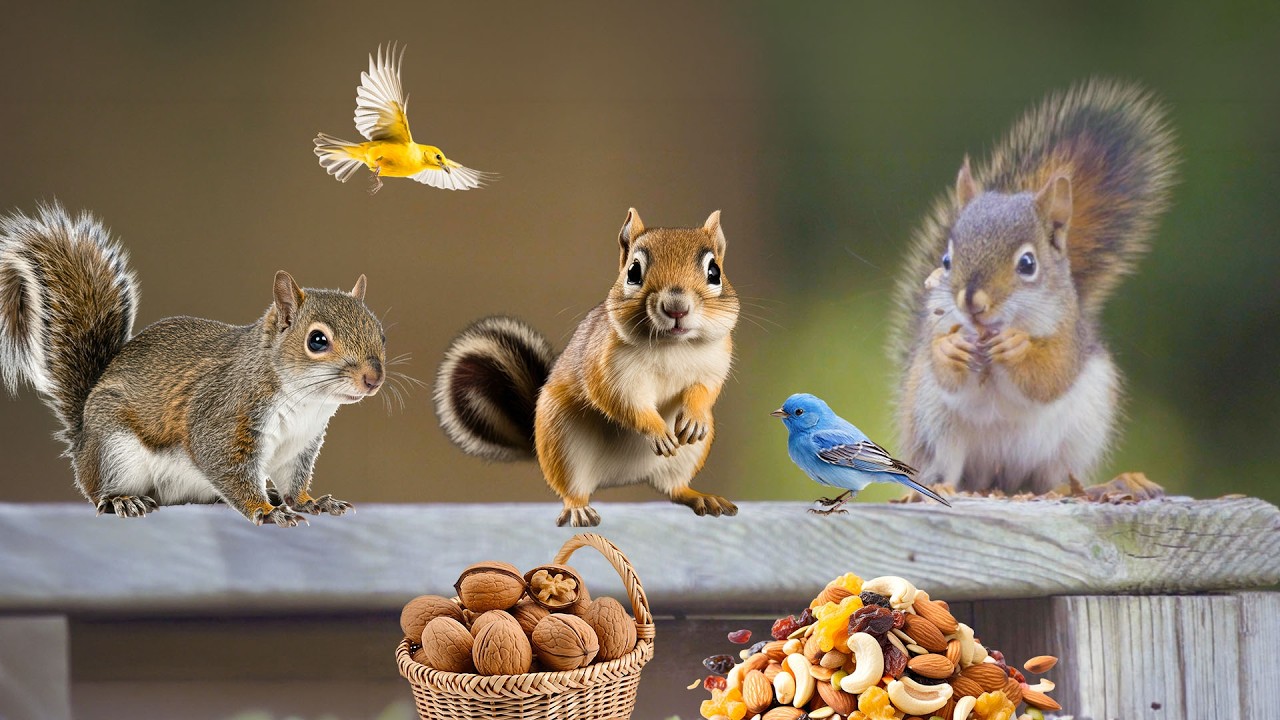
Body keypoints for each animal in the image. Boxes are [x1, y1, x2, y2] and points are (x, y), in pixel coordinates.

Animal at [0, 203, 386, 526]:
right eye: (317, 341)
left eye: (380, 334)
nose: (373, 379)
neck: (307, 401)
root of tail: (81, 438)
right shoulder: (223, 417)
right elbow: (227, 467)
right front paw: (266, 511)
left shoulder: (300, 445)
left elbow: (295, 481)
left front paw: (309, 501)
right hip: (114, 452)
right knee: (99, 490)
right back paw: (121, 499)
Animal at [434, 209, 740, 526]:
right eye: (633, 272)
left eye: (714, 272)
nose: (676, 307)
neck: (671, 345)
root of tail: (621, 476)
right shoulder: (607, 367)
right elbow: (621, 400)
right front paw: (656, 429)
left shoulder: (714, 362)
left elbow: (706, 389)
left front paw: (694, 416)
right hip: (563, 443)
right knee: (573, 489)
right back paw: (579, 508)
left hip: (689, 454)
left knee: (674, 487)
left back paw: (701, 496)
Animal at [892, 79, 1177, 493]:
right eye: (946, 261)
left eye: (1028, 264)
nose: (972, 301)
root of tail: (997, 481)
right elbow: (943, 367)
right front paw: (950, 348)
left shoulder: (1069, 338)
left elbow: (1049, 375)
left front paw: (1018, 347)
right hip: (934, 424)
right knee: (943, 469)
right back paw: (939, 488)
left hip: (1079, 431)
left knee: (1057, 478)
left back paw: (1098, 486)